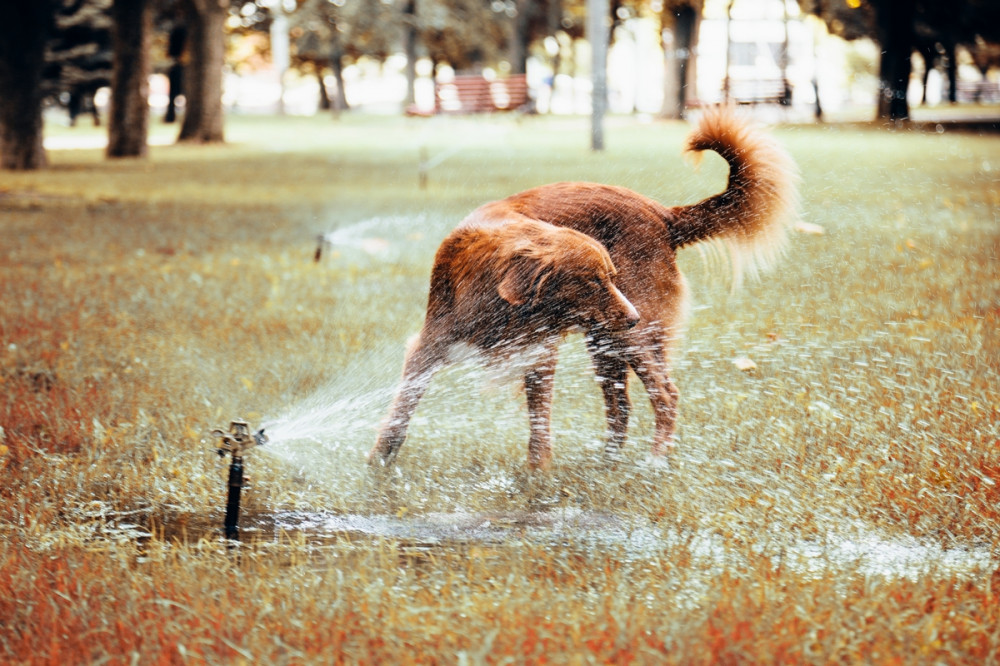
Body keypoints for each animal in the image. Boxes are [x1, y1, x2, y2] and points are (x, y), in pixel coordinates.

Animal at [368, 105, 796, 466]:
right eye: (591, 280)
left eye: (610, 277)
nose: (633, 316)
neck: (498, 299)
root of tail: (662, 213)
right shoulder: (430, 344)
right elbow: (402, 406)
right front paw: (380, 462)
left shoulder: (538, 352)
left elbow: (539, 424)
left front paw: (537, 477)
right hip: (606, 338)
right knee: (621, 407)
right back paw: (607, 463)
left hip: (627, 337)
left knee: (665, 395)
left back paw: (655, 461)